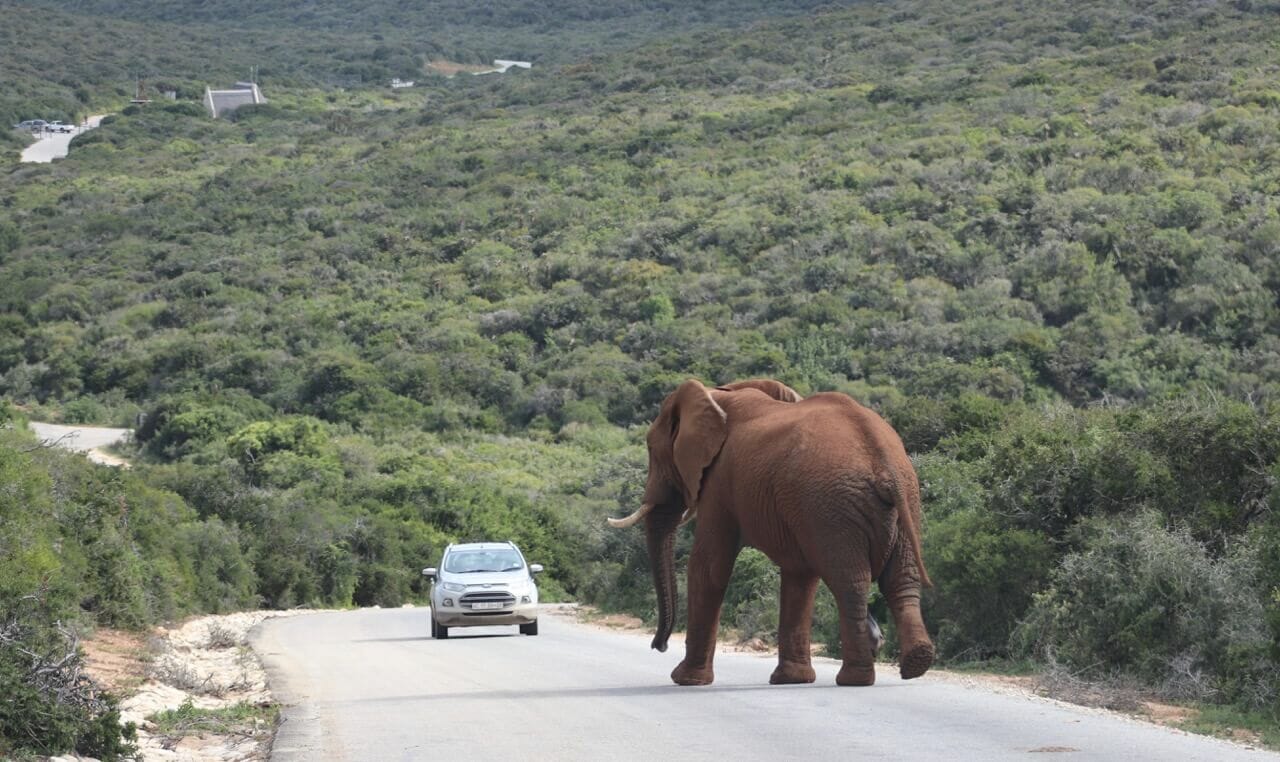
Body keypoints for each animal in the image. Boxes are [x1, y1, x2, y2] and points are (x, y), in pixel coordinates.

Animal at [604, 379, 936, 686]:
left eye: (651, 448)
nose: (658, 645)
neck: (716, 394)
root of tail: (882, 459)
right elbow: (799, 576)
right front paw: (793, 679)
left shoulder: (719, 481)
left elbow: (708, 567)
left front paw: (684, 679)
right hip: (897, 500)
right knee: (900, 579)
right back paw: (915, 663)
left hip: (833, 505)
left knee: (851, 582)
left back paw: (855, 679)